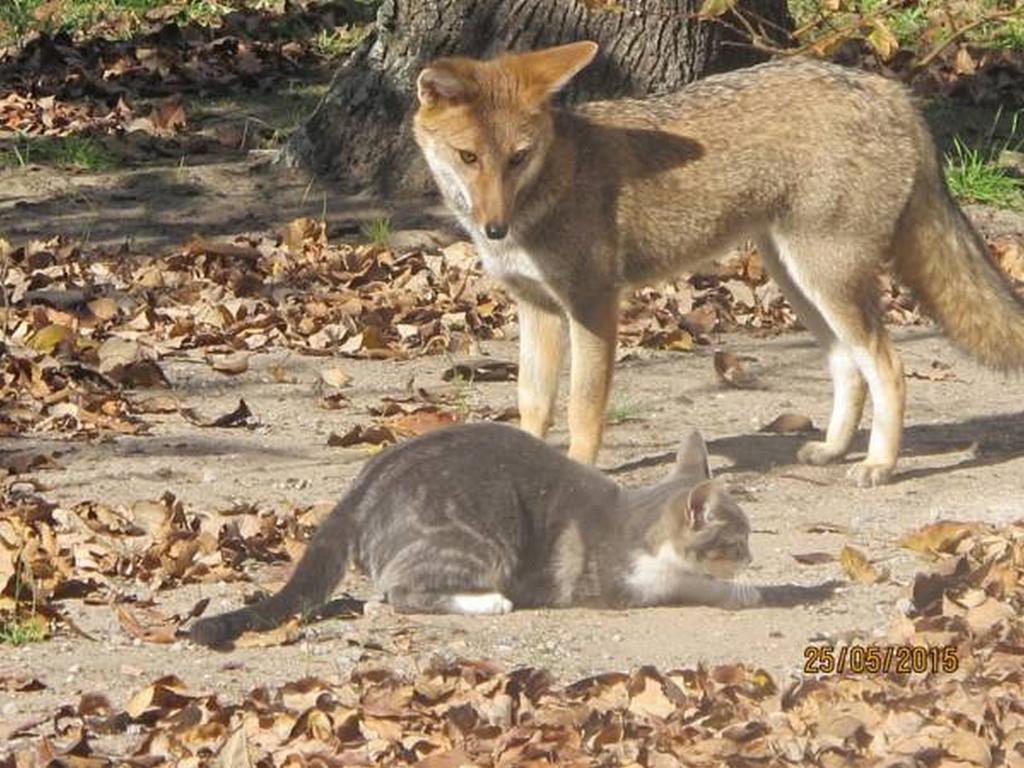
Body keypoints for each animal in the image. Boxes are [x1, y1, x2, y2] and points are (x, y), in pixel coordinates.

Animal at [192, 423, 839, 647]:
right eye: (738, 538)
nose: (753, 554)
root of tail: (363, 487)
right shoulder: (630, 585)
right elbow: (700, 586)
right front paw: (755, 590)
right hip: (483, 537)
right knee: (400, 592)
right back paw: (488, 602)